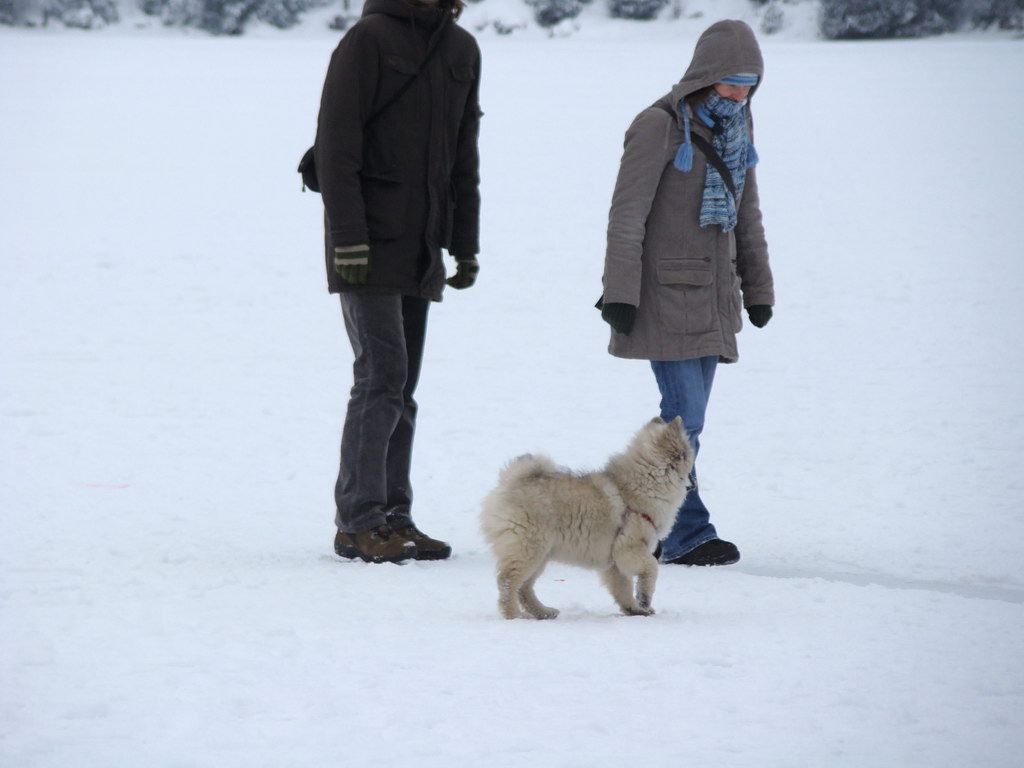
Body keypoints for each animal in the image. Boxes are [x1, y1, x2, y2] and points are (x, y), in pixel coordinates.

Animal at [479, 417, 696, 622]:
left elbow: (622, 588)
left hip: (540, 554)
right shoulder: (629, 548)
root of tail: (509, 483)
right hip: (528, 549)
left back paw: (544, 612)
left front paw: (635, 609)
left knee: (524, 588)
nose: (694, 484)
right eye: (689, 468)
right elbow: (651, 567)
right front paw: (644, 599)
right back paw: (514, 616)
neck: (643, 483)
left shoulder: (615, 560)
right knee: (508, 582)